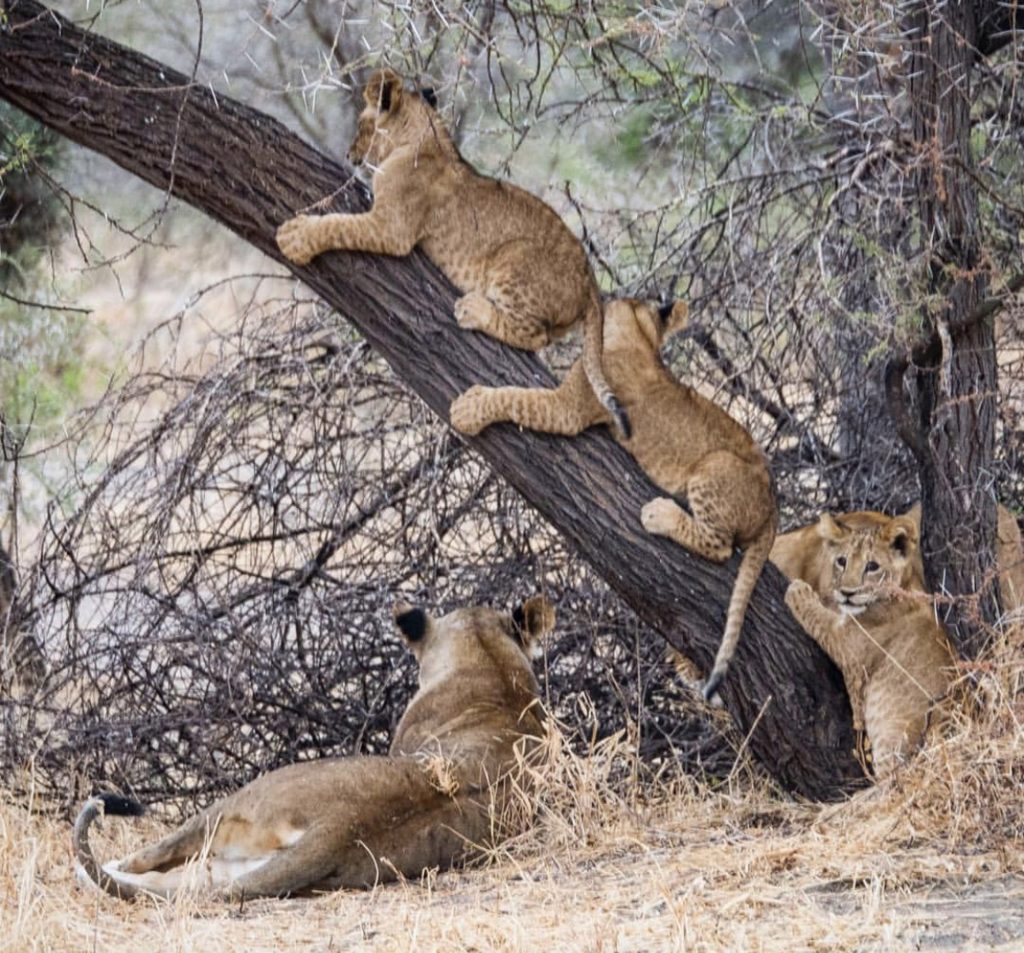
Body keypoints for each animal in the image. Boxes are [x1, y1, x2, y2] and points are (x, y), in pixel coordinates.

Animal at [74, 595, 555, 900]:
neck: (494, 670)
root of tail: (340, 827)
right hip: (232, 868)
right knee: (178, 887)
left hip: (234, 804)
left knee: (149, 859)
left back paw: (94, 869)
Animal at [275, 69, 629, 436]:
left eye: (361, 124)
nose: (347, 155)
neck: (421, 139)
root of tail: (591, 284)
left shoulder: (391, 229)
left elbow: (338, 225)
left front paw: (295, 237)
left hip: (513, 256)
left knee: (535, 335)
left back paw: (473, 309)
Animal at [450, 298, 776, 701]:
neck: (639, 336)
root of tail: (774, 506)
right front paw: (476, 311)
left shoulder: (568, 408)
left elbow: (515, 397)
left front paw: (468, 410)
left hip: (714, 465)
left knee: (719, 546)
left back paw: (659, 514)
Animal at [782, 513, 955, 775]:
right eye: (841, 561)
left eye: (872, 566)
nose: (847, 593)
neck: (905, 587)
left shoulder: (845, 641)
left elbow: (817, 617)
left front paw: (798, 590)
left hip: (894, 740)